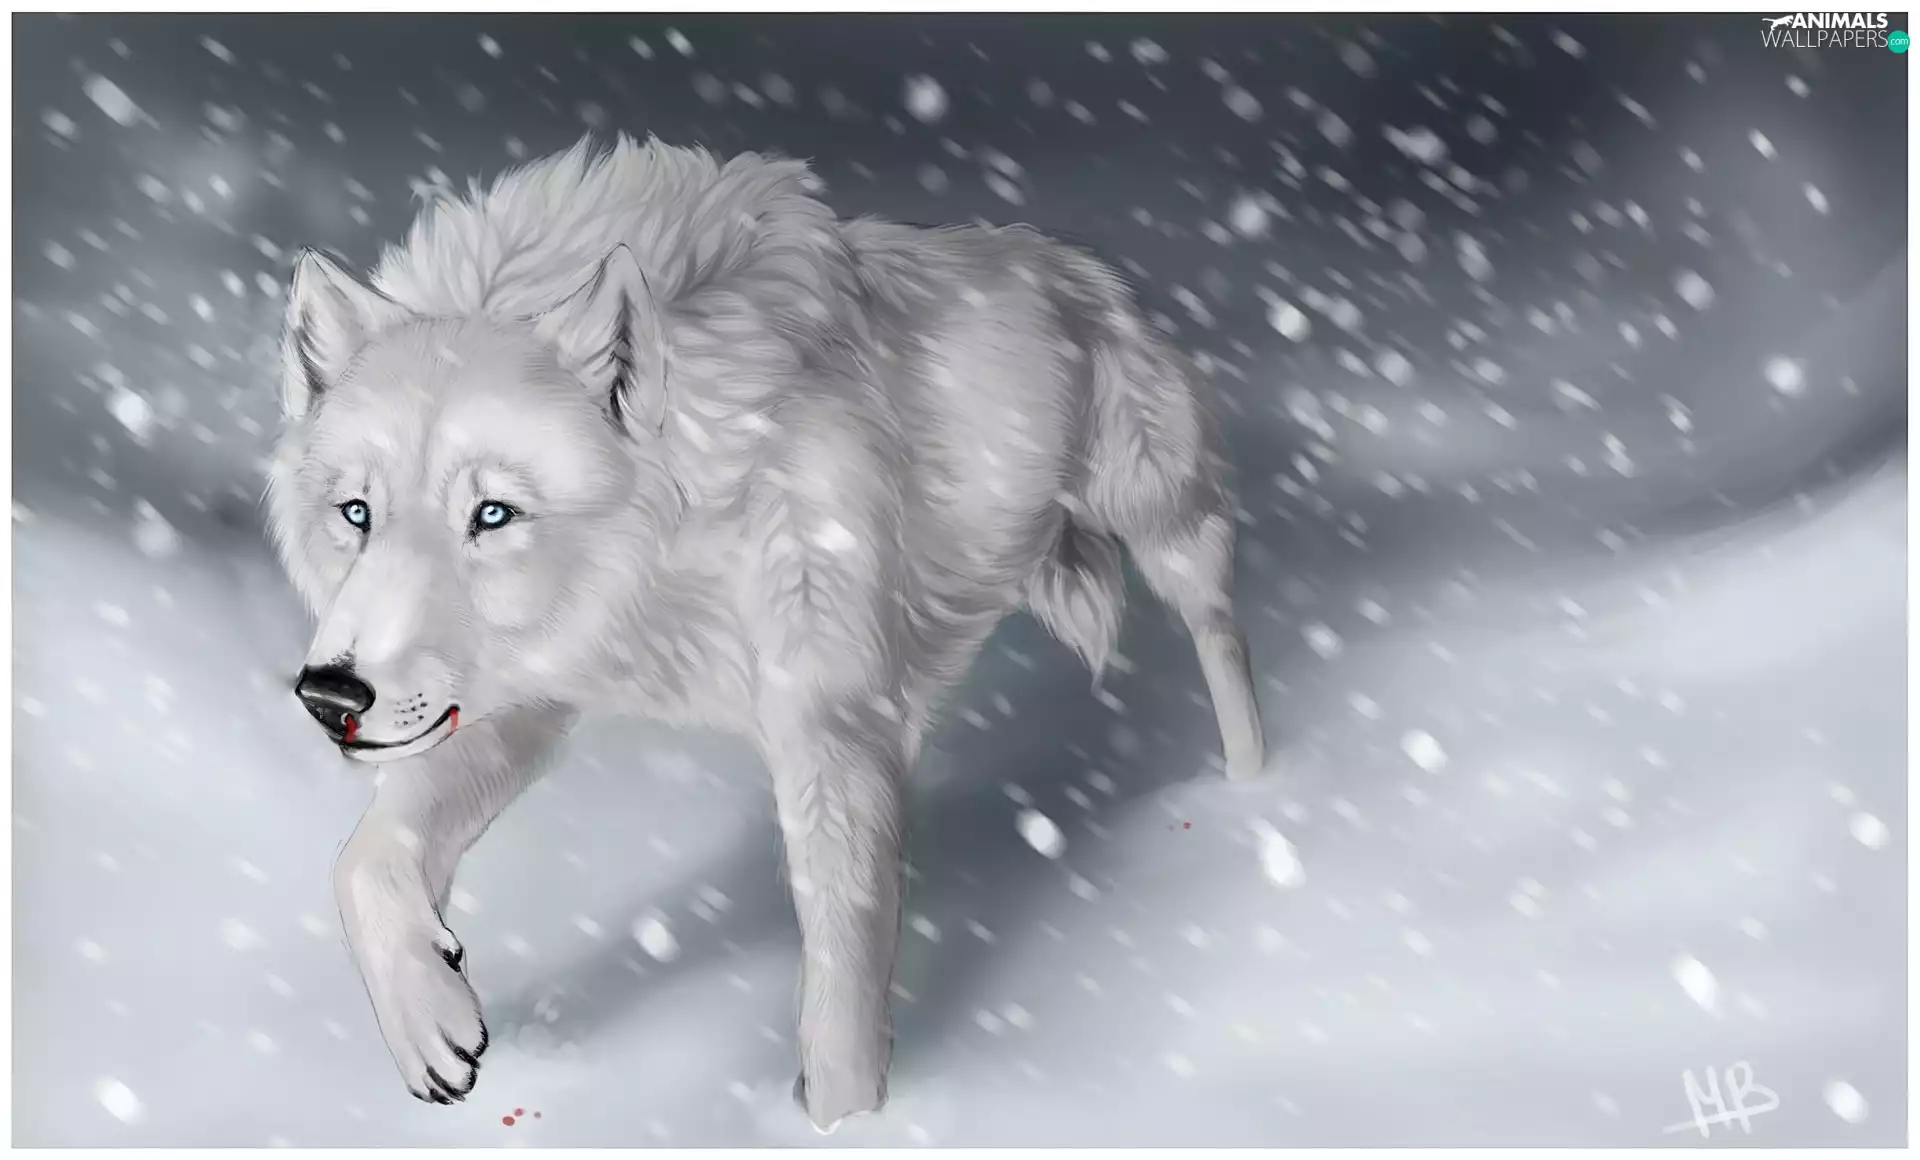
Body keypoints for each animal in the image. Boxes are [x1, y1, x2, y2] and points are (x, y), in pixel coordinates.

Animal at [267, 134, 1265, 1132]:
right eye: (357, 513)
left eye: (493, 513)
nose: (326, 695)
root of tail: (1073, 263)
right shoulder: (526, 701)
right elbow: (363, 866)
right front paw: (432, 1029)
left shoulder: (836, 735)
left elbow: (842, 989)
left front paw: (846, 1130)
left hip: (1167, 523)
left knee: (1224, 637)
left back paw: (1254, 793)